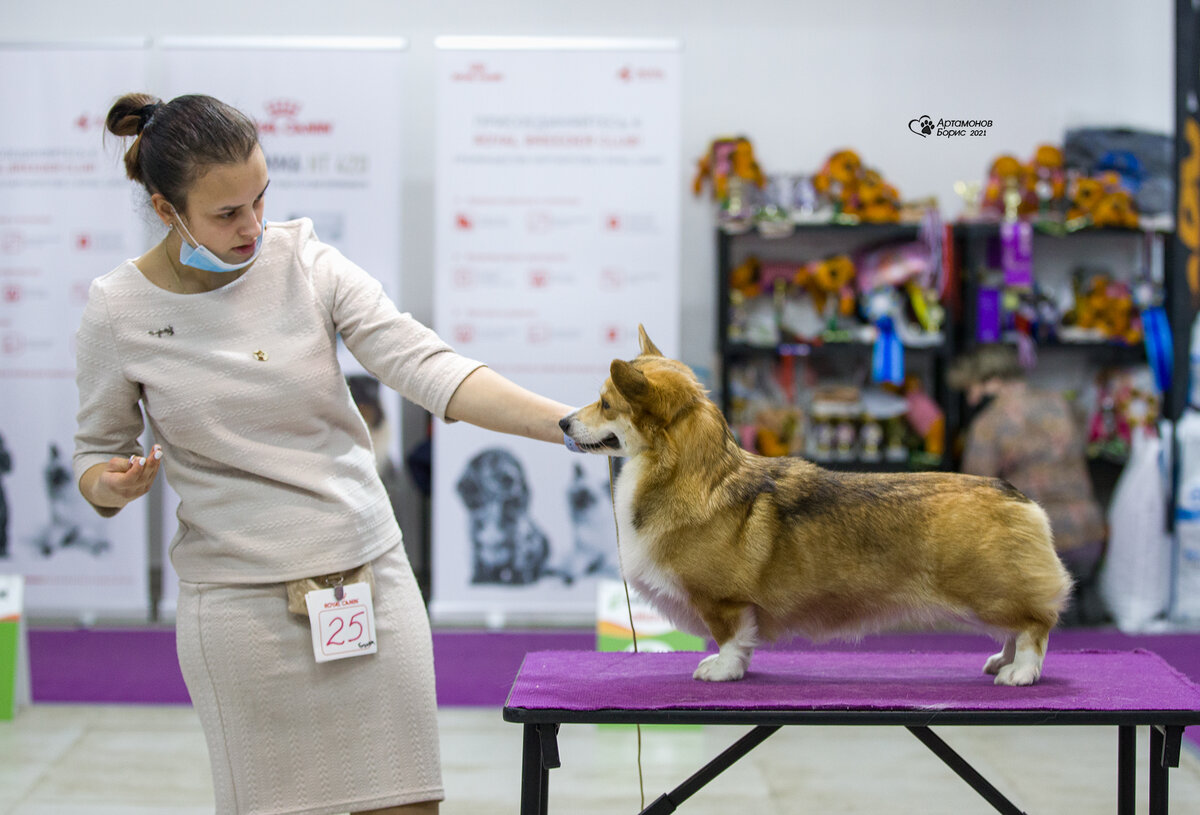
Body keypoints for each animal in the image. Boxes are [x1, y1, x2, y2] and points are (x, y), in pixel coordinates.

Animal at [556, 328, 1075, 686]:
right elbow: (745, 641)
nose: (561, 422)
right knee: (1015, 629)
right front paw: (737, 667)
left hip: (991, 591)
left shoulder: (724, 602)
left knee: (1035, 626)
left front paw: (722, 670)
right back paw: (1001, 660)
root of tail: (1017, 496)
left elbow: (730, 637)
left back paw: (1019, 672)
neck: (690, 472)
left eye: (605, 404)